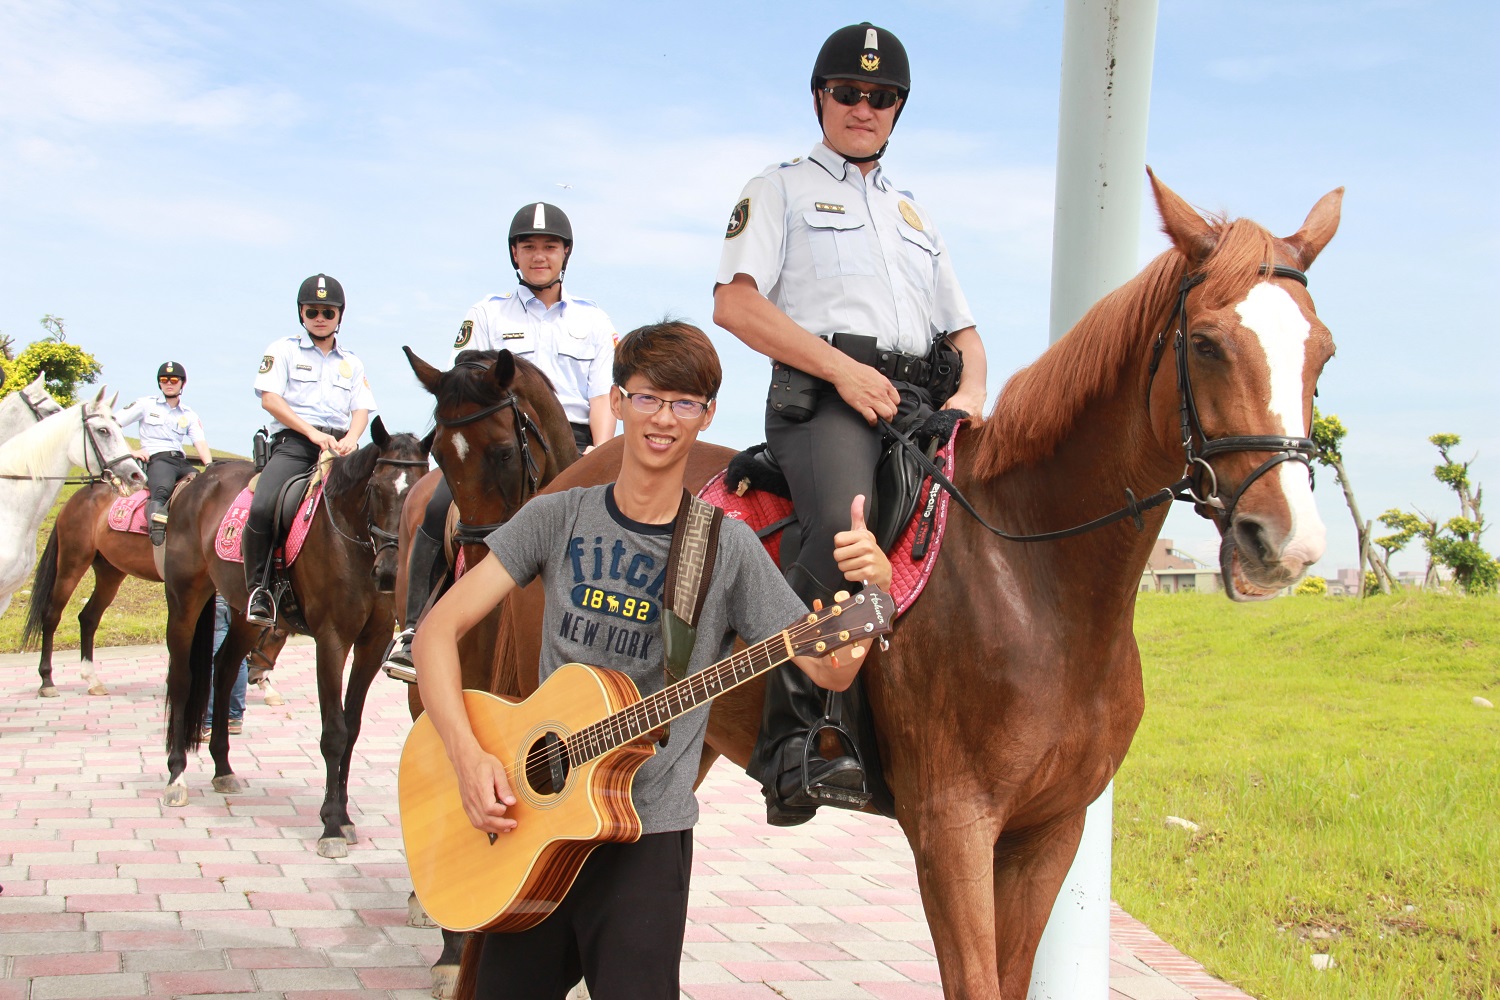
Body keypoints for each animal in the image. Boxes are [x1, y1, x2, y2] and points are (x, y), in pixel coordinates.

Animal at [24, 479, 289, 701]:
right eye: (274, 636)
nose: (257, 676)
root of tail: (80, 495)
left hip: (110, 571)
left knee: (89, 618)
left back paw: (92, 679)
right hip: (73, 561)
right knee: (51, 615)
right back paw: (47, 680)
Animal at [162, 419, 432, 857]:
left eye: (419, 491)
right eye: (376, 489)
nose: (390, 572)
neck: (353, 541)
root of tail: (195, 483)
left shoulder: (372, 643)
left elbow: (352, 728)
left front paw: (342, 816)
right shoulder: (332, 640)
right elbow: (334, 733)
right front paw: (332, 827)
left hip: (244, 613)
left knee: (224, 670)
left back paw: (223, 768)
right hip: (184, 599)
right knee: (183, 678)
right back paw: (175, 777)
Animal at [477, 176, 1338, 995]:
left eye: (1323, 355)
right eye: (1207, 343)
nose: (1283, 543)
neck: (1038, 588)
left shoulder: (1050, 833)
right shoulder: (953, 827)